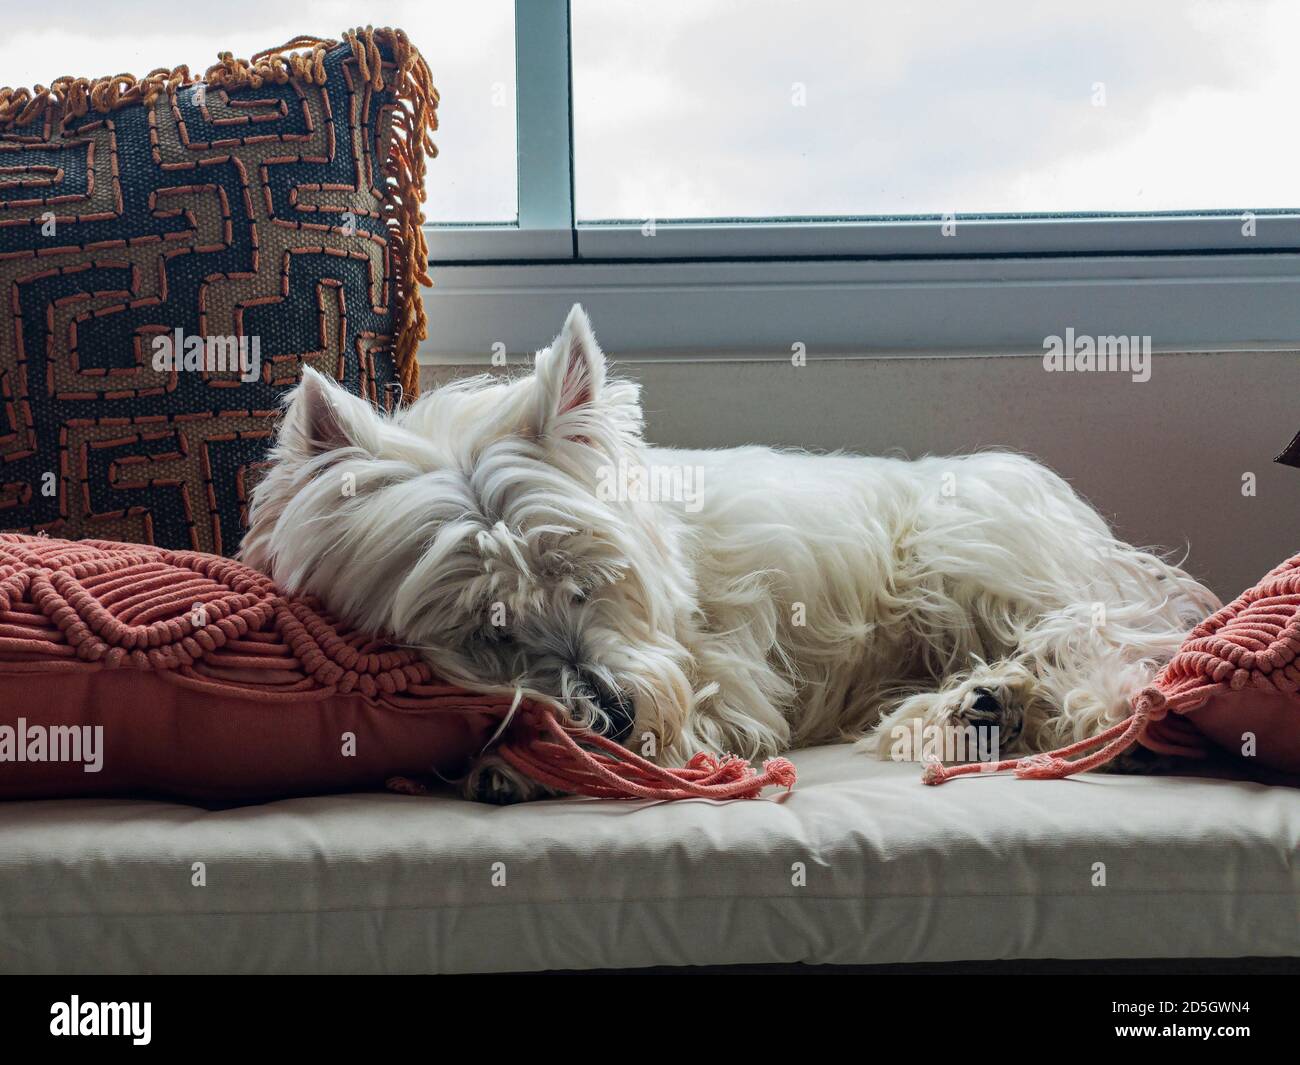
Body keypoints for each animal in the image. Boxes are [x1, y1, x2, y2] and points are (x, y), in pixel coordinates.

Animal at [241, 301, 1216, 801]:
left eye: (590, 582)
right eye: (486, 623)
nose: (615, 713)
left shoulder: (734, 679)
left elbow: (701, 718)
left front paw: (520, 765)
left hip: (974, 550)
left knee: (1112, 650)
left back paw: (1027, 707)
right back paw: (975, 710)